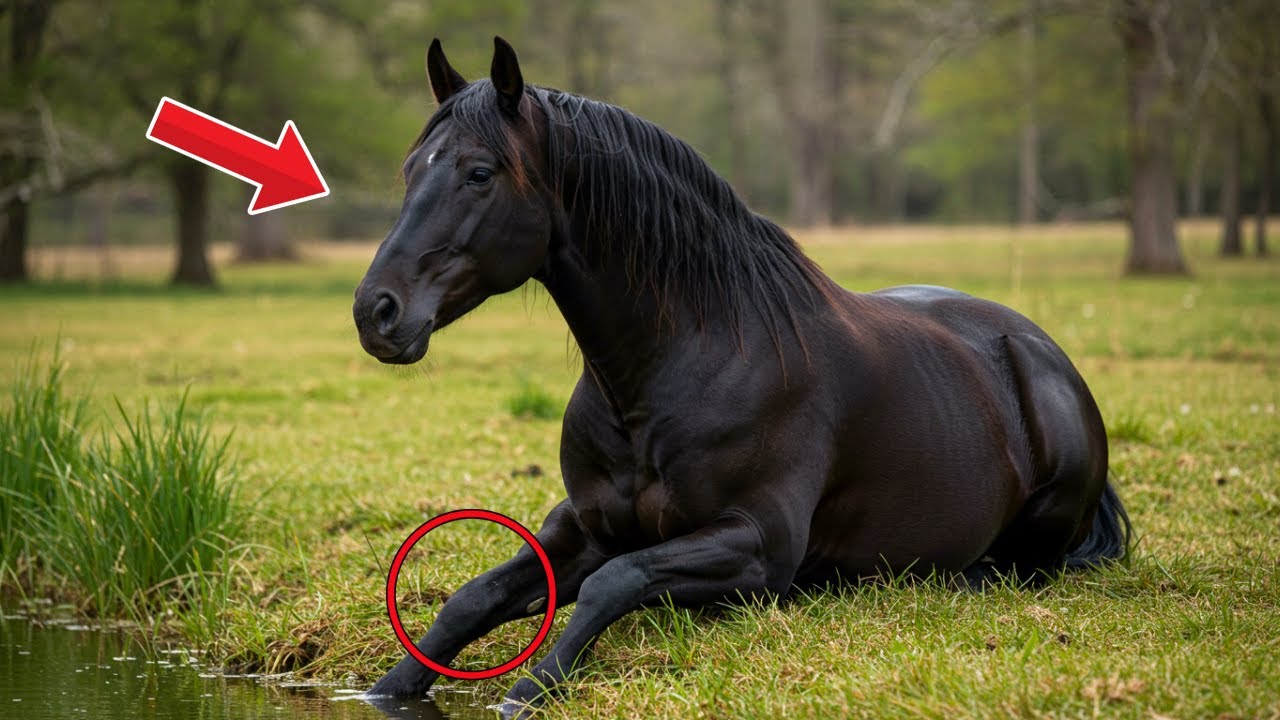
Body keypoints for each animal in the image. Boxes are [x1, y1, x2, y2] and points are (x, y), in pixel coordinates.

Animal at [353, 36, 1130, 716]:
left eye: (480, 173)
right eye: (411, 169)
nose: (375, 312)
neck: (683, 365)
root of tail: (1040, 350)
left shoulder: (757, 543)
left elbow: (612, 582)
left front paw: (531, 688)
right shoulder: (582, 525)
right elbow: (473, 598)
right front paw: (389, 688)